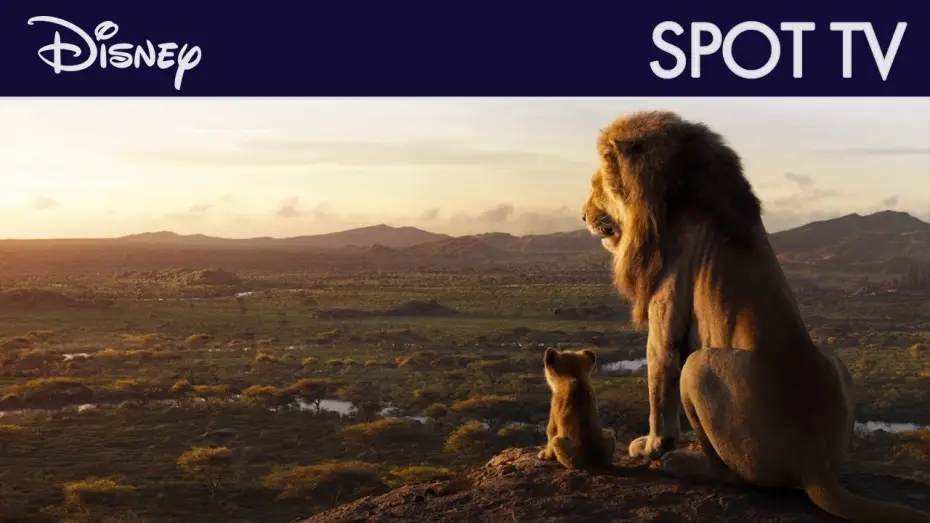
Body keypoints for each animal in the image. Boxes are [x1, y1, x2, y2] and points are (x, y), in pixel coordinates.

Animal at [581, 110, 930, 523]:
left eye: (596, 186)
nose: (582, 215)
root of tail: (814, 463)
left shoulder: (666, 305)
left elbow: (658, 375)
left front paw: (651, 446)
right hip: (834, 359)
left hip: (699, 368)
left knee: (732, 474)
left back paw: (682, 462)